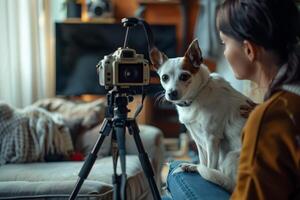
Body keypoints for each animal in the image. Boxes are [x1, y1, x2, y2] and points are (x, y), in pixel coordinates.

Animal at [150, 39, 251, 192]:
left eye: (184, 76)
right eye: (164, 77)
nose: (171, 93)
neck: (196, 97)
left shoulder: (211, 139)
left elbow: (209, 165)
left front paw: (205, 173)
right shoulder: (198, 139)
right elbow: (203, 160)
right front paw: (197, 167)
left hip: (231, 156)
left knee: (231, 184)